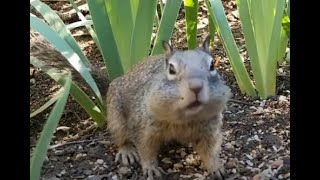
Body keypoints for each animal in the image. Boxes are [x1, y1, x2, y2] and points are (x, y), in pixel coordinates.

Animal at [30, 31, 232, 179]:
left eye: (213, 65)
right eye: (171, 69)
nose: (196, 86)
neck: (183, 118)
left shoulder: (210, 130)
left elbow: (210, 150)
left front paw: (216, 167)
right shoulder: (143, 128)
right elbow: (145, 149)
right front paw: (150, 168)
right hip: (116, 119)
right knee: (121, 137)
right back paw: (126, 151)